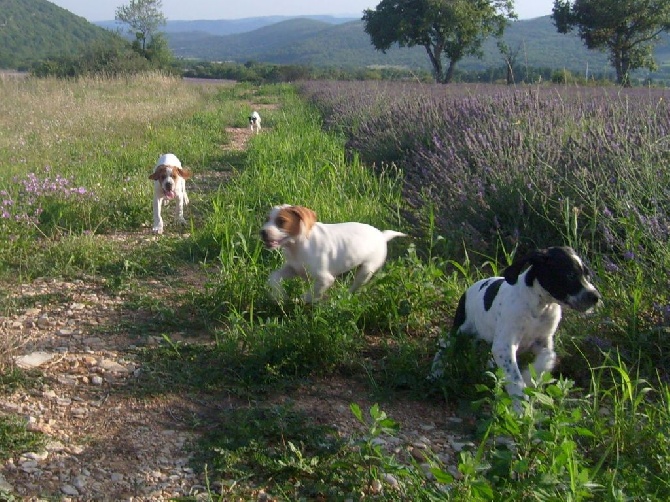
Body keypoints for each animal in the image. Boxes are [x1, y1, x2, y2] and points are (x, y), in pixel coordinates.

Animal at [262, 204, 410, 302]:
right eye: (267, 219)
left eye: (281, 221)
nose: (262, 232)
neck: (297, 246)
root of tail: (382, 236)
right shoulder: (294, 269)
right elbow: (273, 277)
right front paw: (279, 294)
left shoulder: (325, 279)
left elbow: (313, 292)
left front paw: (304, 299)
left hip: (366, 270)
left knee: (354, 288)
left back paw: (343, 298)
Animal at [434, 247, 600, 404]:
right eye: (570, 275)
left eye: (587, 276)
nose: (596, 297)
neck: (539, 307)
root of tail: (470, 288)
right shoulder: (504, 346)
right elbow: (515, 379)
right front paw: (520, 406)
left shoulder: (542, 341)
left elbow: (549, 357)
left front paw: (529, 377)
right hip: (461, 330)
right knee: (444, 345)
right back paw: (437, 371)